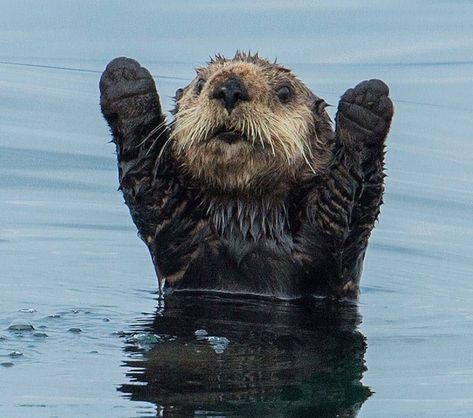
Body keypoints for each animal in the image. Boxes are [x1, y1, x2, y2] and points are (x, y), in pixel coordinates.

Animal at [98, 52, 390, 298]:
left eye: (285, 92)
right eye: (200, 84)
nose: (229, 89)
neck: (247, 222)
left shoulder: (332, 246)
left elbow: (347, 200)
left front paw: (367, 103)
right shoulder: (176, 232)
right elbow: (148, 179)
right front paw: (125, 79)